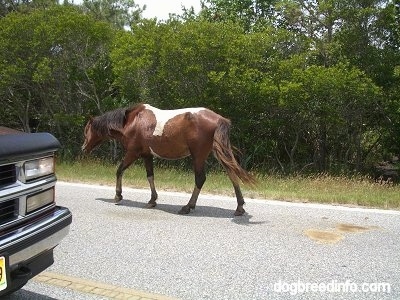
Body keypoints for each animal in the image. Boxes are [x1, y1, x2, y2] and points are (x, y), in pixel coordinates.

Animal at [82, 103, 256, 216]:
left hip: (198, 156)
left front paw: (118, 195)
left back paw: (188, 206)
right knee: (232, 174)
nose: (83, 148)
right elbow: (150, 176)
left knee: (200, 179)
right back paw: (239, 207)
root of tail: (220, 119)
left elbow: (119, 170)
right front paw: (152, 200)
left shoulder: (133, 153)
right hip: (218, 153)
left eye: (87, 130)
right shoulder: (147, 155)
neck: (132, 121)